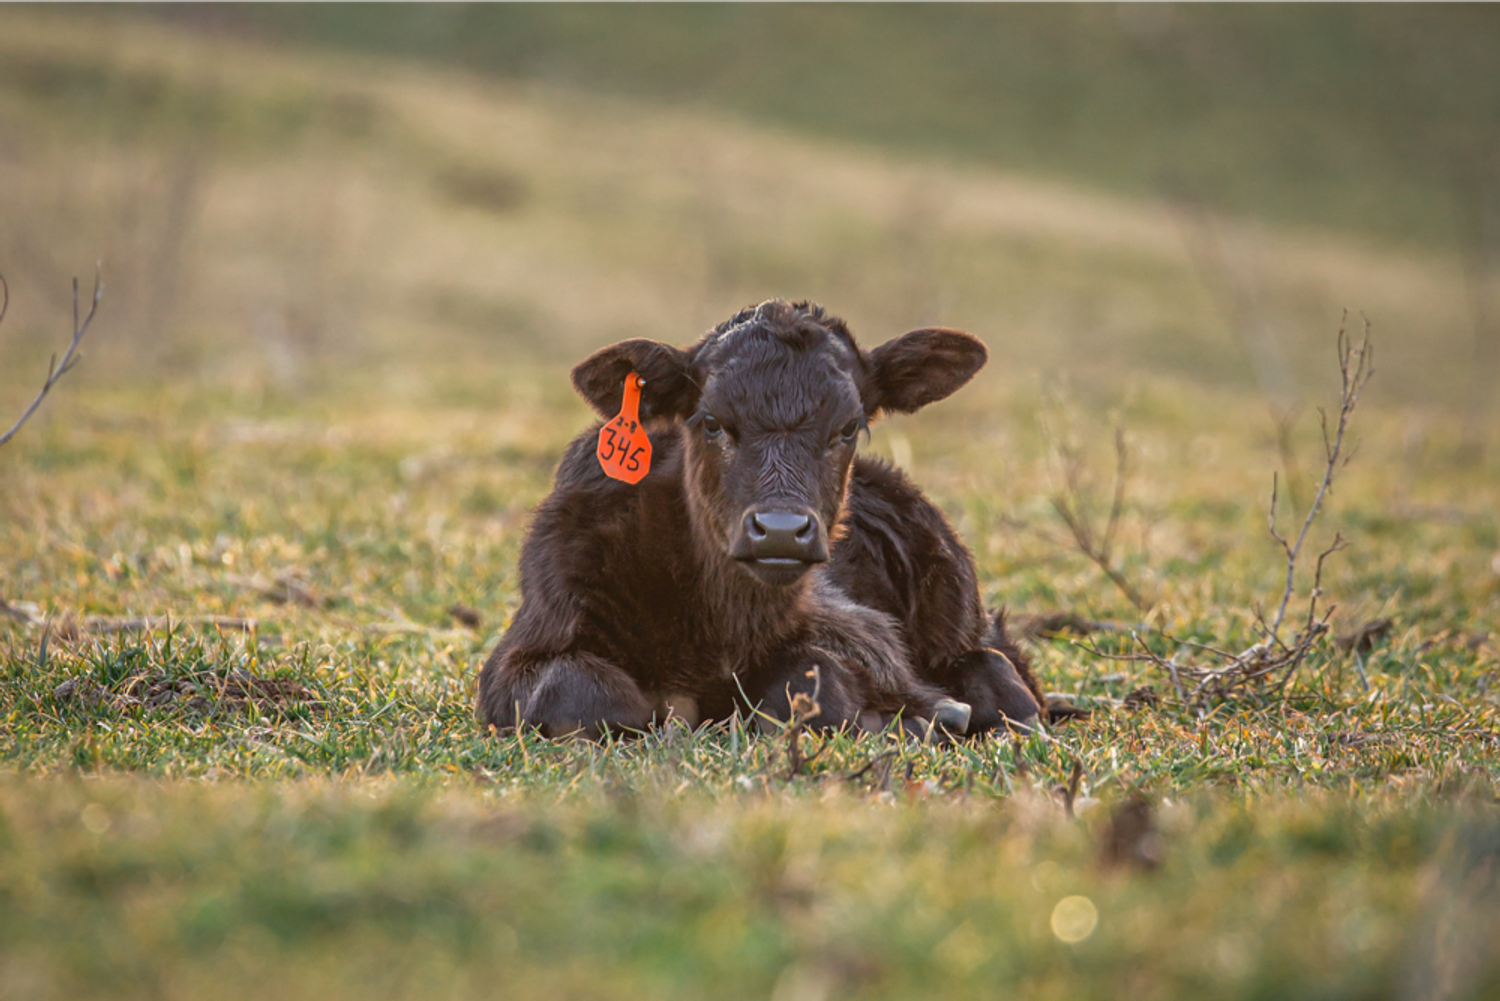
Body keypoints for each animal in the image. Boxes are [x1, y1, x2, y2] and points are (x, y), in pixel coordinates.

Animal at [476, 300, 1043, 739]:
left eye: (848, 427)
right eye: (711, 421)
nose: (781, 531)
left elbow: (810, 681)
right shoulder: (523, 652)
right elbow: (582, 694)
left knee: (999, 672)